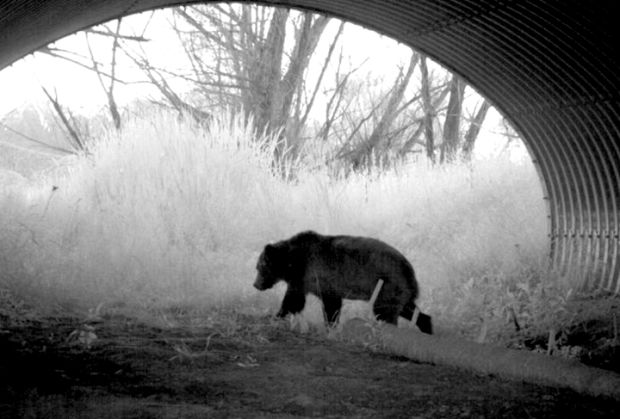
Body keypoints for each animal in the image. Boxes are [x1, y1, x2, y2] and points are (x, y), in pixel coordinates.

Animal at [252, 230, 432, 334]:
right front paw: (331, 326)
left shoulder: (308, 274)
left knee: (385, 312)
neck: (292, 262)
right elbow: (330, 305)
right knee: (409, 310)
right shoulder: (322, 283)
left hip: (388, 284)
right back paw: (427, 326)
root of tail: (410, 269)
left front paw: (275, 316)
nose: (256, 284)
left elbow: (293, 301)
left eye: (259, 267)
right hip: (398, 290)